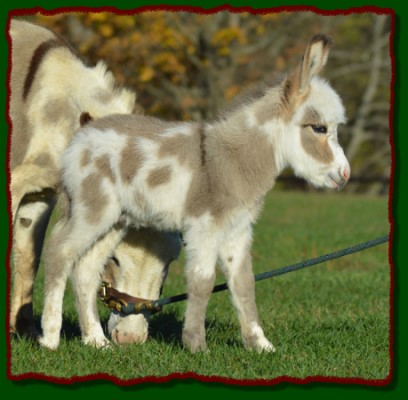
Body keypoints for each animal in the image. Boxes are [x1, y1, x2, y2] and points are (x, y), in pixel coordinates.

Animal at [39, 35, 350, 354]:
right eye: (319, 128)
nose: (345, 175)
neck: (231, 159)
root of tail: (82, 136)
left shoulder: (237, 229)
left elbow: (244, 283)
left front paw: (259, 344)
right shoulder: (205, 226)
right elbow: (202, 281)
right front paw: (196, 345)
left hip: (115, 220)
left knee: (86, 270)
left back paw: (96, 340)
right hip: (93, 209)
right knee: (58, 252)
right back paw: (50, 338)